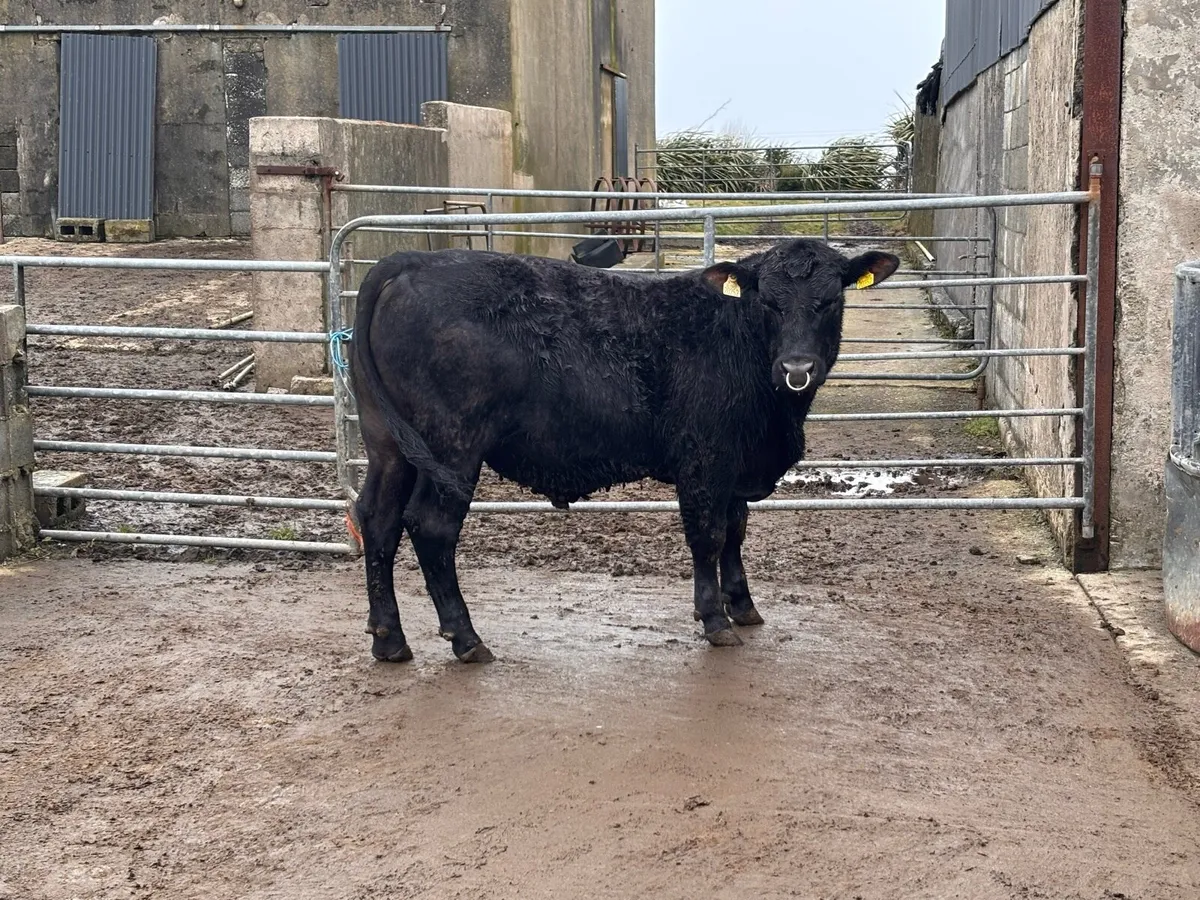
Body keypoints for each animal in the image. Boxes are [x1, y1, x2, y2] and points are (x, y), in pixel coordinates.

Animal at [349, 239, 899, 663]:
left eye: (830, 301)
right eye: (769, 302)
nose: (797, 367)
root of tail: (410, 259)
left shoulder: (735, 466)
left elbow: (736, 532)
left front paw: (743, 605)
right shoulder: (704, 460)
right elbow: (709, 536)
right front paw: (715, 619)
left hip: (388, 444)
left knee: (377, 519)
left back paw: (389, 640)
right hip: (454, 446)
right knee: (431, 526)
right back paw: (466, 639)